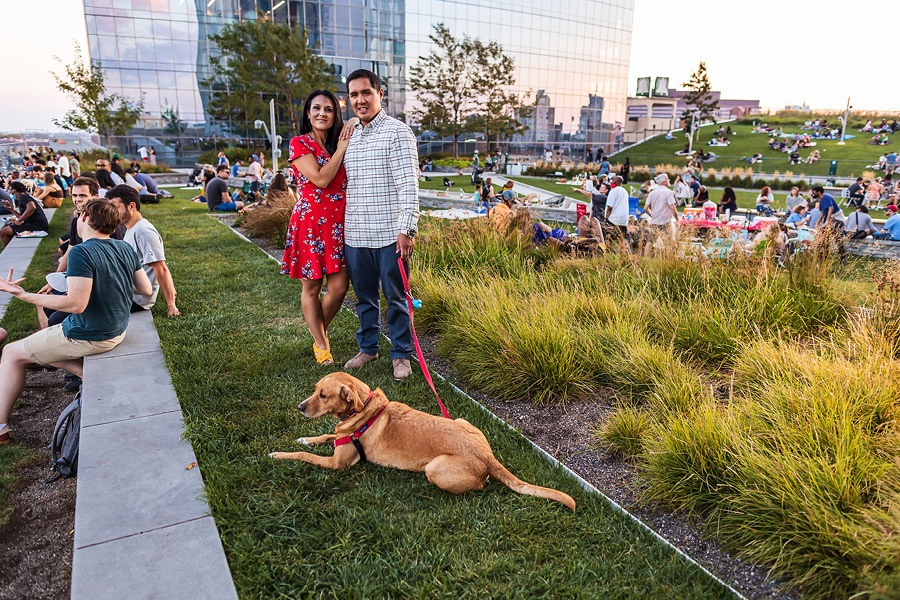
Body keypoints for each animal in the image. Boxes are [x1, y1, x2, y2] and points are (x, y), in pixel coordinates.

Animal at [268, 372, 576, 508]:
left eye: (323, 395)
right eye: (315, 390)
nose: (300, 407)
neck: (364, 410)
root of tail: (487, 457)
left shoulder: (338, 464)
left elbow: (304, 456)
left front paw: (278, 455)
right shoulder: (340, 439)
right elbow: (325, 435)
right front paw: (305, 438)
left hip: (434, 467)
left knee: (479, 485)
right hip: (463, 421)